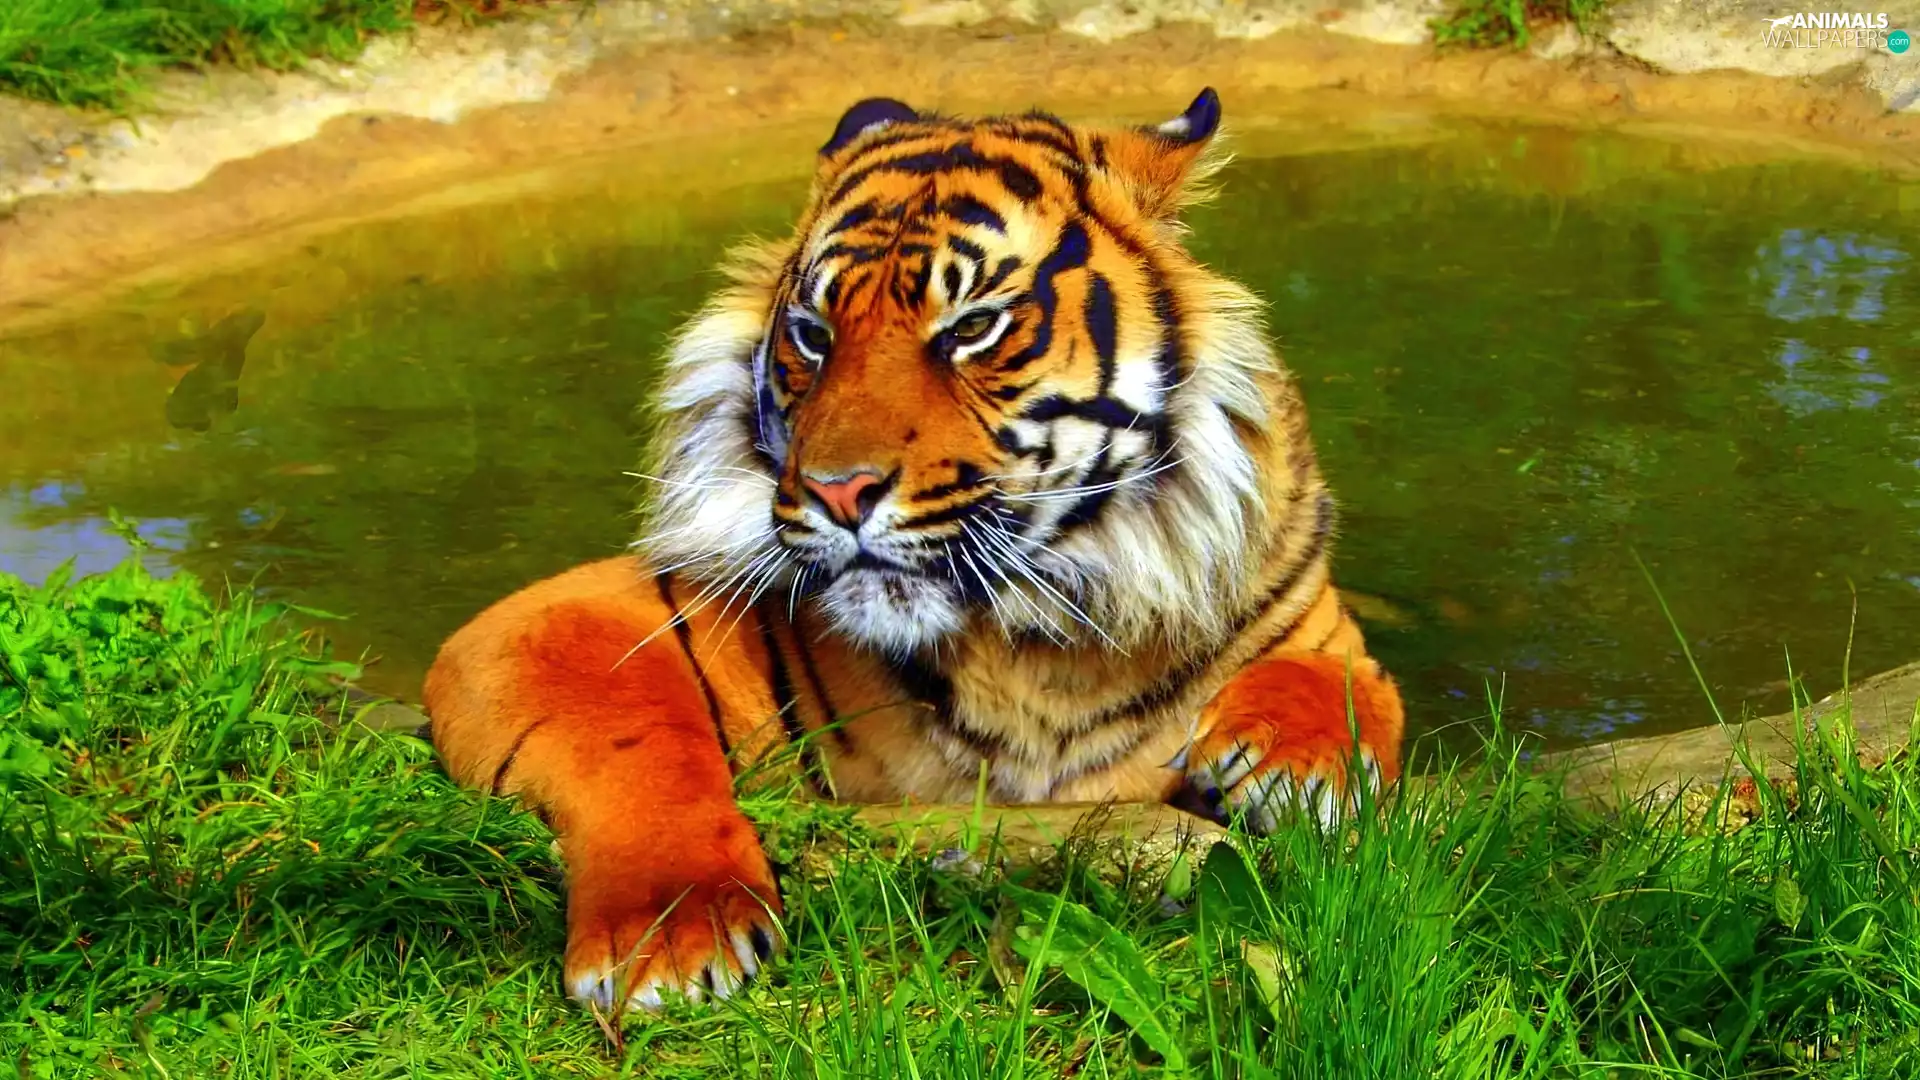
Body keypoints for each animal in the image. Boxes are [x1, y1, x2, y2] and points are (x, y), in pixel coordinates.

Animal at [422, 88, 1406, 1015]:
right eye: (814, 335)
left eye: (971, 327)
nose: (838, 491)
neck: (1037, 647)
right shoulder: (558, 620)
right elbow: (636, 746)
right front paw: (666, 933)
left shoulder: (1318, 625)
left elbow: (1341, 688)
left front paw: (1280, 768)